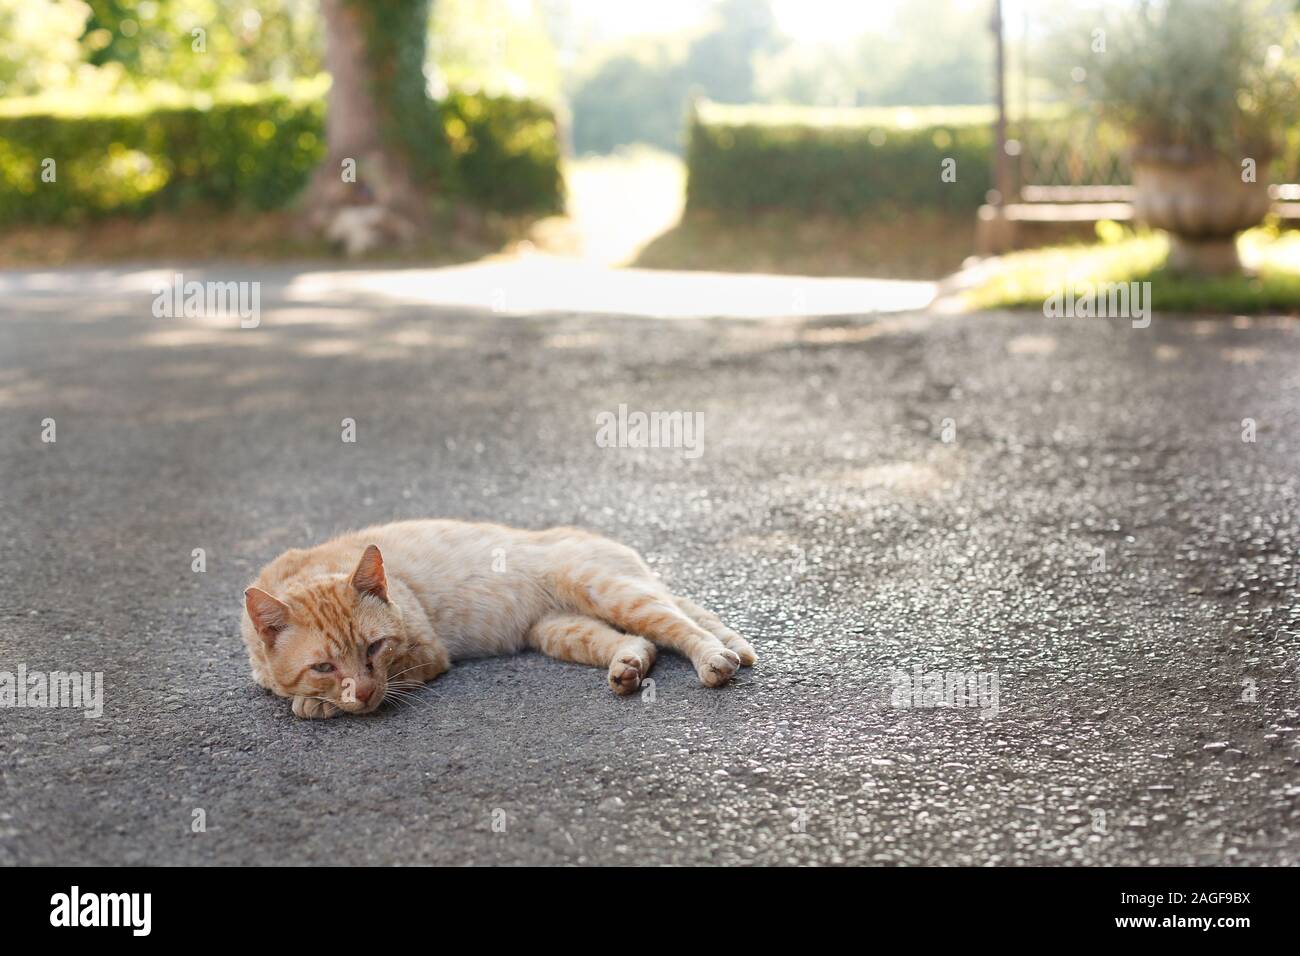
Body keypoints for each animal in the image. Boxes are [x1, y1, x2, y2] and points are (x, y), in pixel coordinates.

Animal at [239, 522, 759, 717]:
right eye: (324, 666)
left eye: (374, 648)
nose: (363, 692)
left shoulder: (426, 653)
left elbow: (385, 682)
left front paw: (314, 704)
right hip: (558, 631)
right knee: (641, 642)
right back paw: (627, 668)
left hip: (610, 591)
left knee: (681, 625)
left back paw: (715, 660)